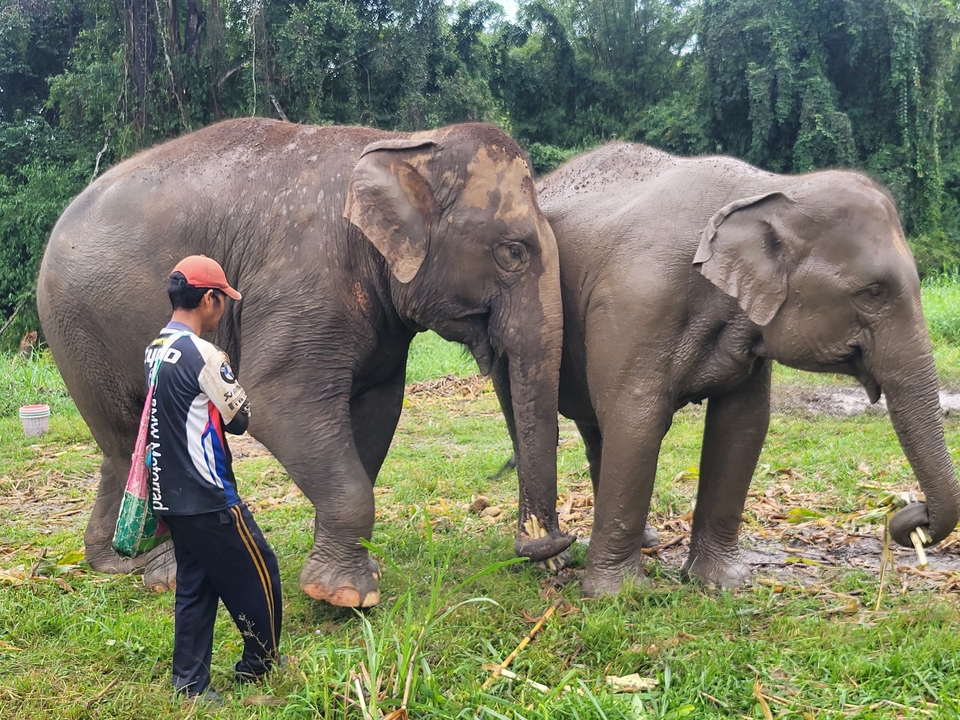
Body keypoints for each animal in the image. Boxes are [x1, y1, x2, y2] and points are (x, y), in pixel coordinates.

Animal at [37, 117, 574, 607]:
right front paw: (343, 596)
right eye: (512, 252)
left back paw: (115, 563)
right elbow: (276, 405)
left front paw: (344, 581)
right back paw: (165, 575)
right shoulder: (303, 282)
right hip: (76, 323)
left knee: (120, 437)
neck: (406, 142)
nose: (549, 547)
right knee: (129, 432)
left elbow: (376, 413)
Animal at [495, 142, 960, 597]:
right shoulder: (635, 304)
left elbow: (741, 424)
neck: (769, 189)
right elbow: (636, 419)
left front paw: (723, 583)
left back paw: (644, 542)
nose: (909, 514)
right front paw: (618, 595)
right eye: (873, 292)